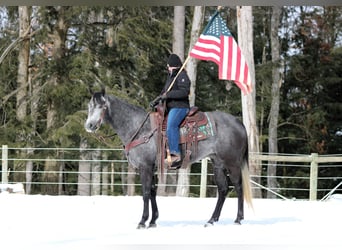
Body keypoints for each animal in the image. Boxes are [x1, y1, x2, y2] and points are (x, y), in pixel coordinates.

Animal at [84, 88, 252, 229]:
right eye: (89, 106)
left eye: (101, 106)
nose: (89, 125)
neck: (139, 128)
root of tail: (239, 123)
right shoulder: (151, 168)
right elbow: (152, 192)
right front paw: (153, 220)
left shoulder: (145, 167)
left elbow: (146, 192)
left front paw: (142, 221)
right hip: (218, 164)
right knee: (223, 189)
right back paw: (211, 220)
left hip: (232, 163)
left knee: (238, 186)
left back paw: (238, 219)